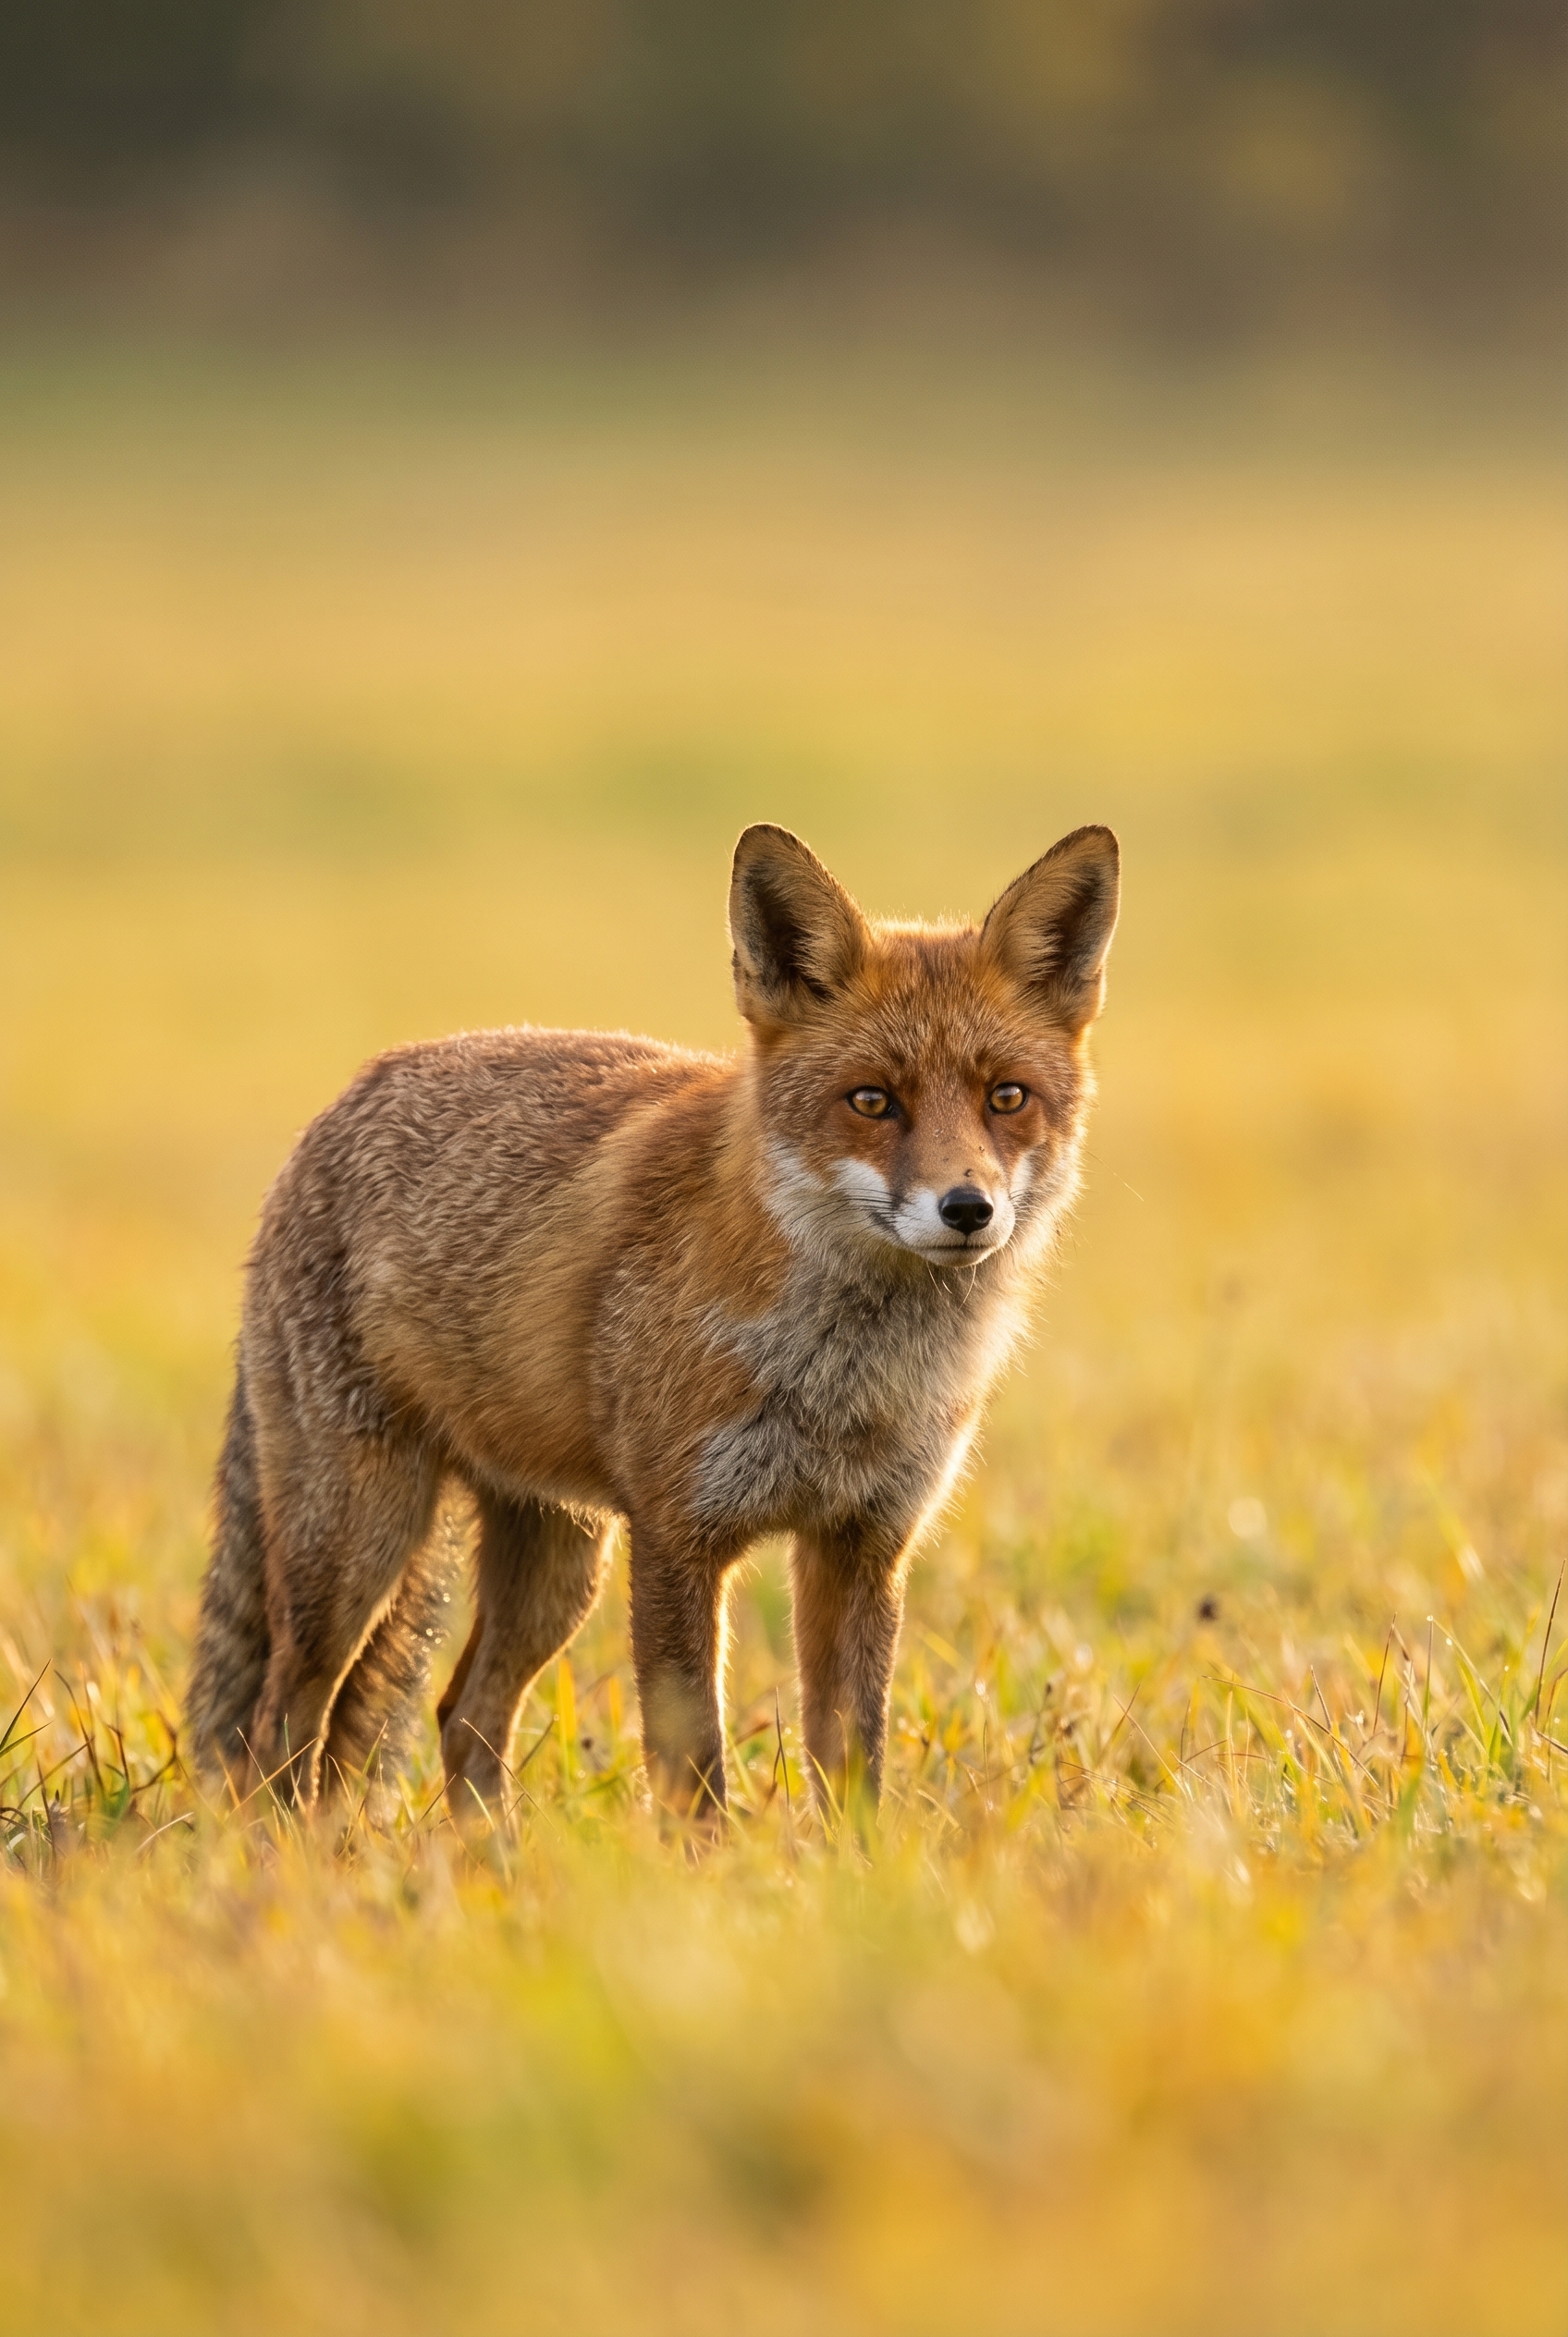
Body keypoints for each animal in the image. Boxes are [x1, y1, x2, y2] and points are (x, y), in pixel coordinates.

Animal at [186, 820, 1119, 1830]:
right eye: (872, 1100)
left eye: (1006, 1096)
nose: (967, 1208)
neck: (842, 1380)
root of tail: (341, 1100)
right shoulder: (678, 1537)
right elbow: (692, 1770)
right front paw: (711, 1871)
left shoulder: (861, 1544)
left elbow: (853, 1767)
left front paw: (854, 1865)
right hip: (357, 1543)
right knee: (281, 1725)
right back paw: (288, 1855)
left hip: (557, 1565)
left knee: (461, 1713)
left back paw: (487, 1862)